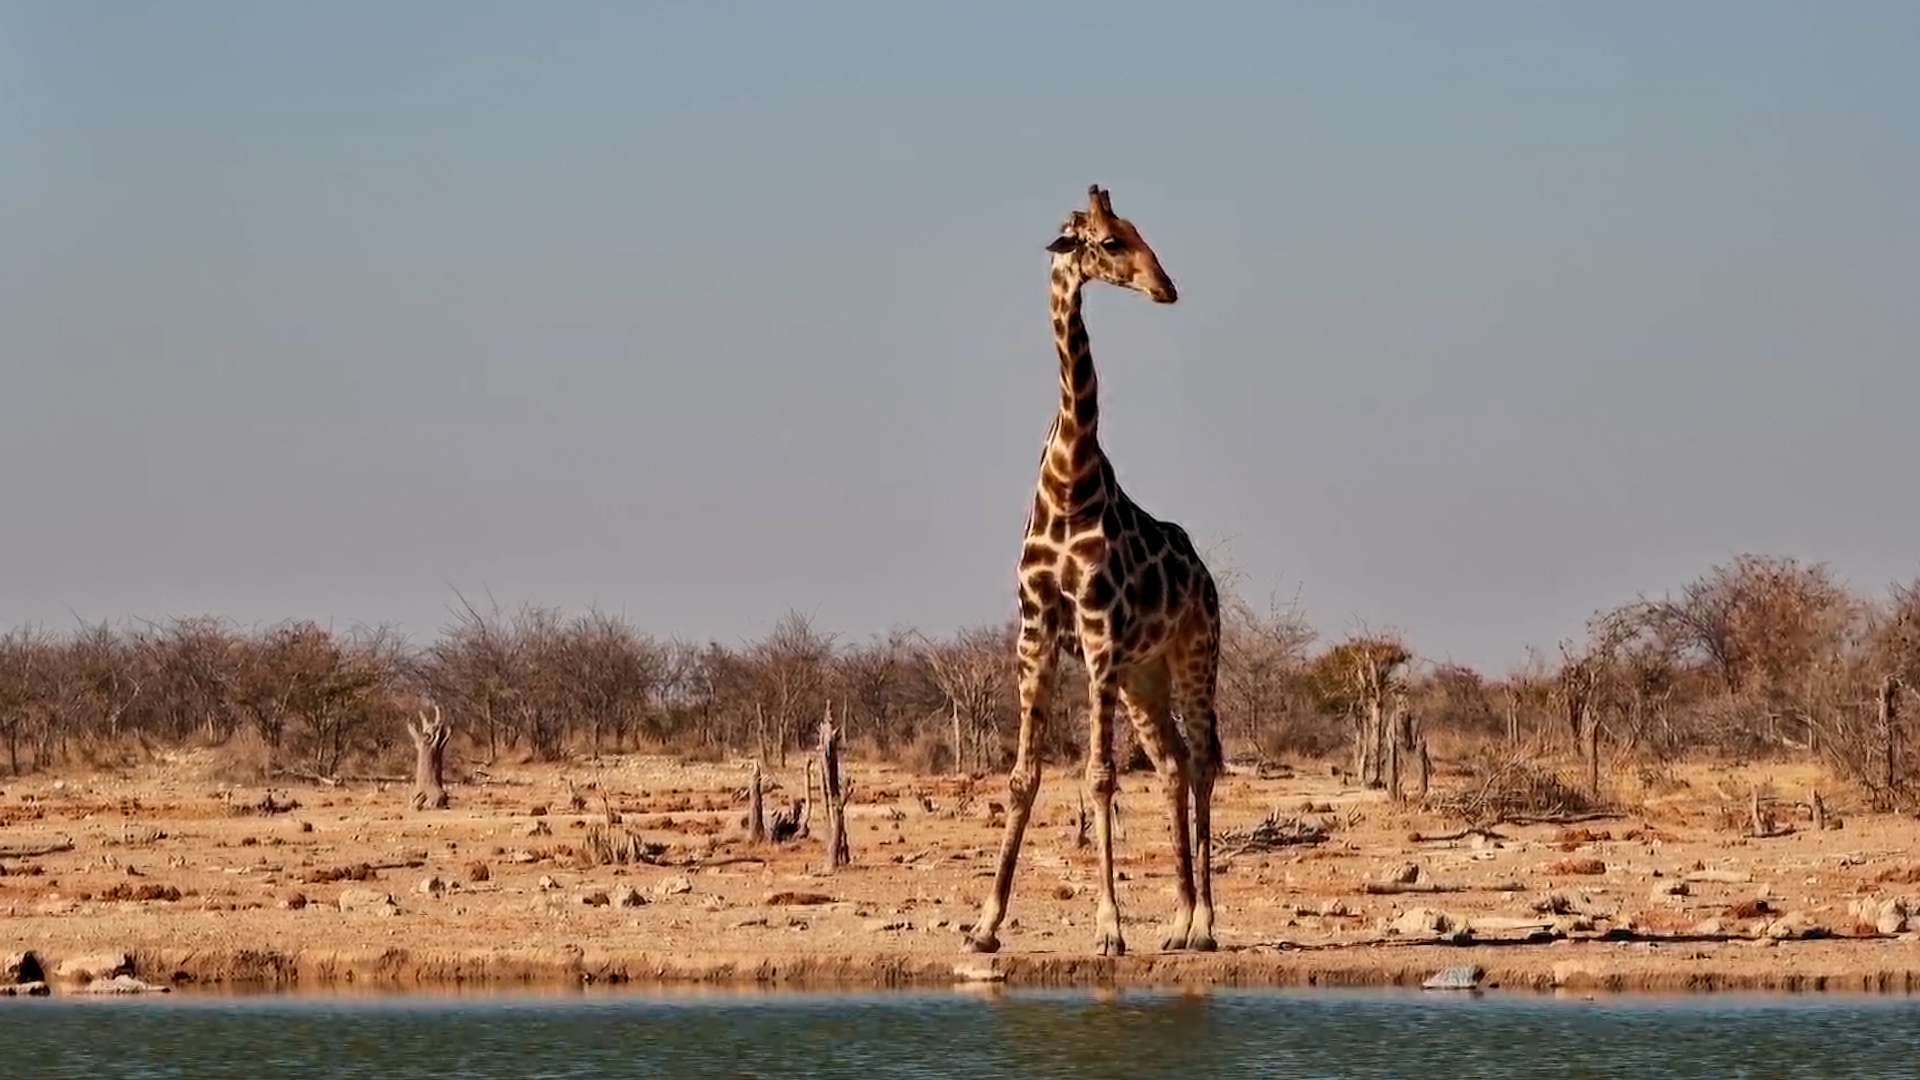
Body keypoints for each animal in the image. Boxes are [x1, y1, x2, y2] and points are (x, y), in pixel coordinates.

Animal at [964, 184, 1224, 958]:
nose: (1166, 287)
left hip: (1193, 654)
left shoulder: (1100, 629)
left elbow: (1100, 777)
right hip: (1144, 676)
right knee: (1172, 763)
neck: (1068, 480)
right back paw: (1176, 922)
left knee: (1204, 761)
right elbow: (1023, 777)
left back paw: (1204, 925)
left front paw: (1109, 927)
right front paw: (985, 924)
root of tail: (1206, 576)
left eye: (1138, 231)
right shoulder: (1036, 629)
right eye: (1110, 242)